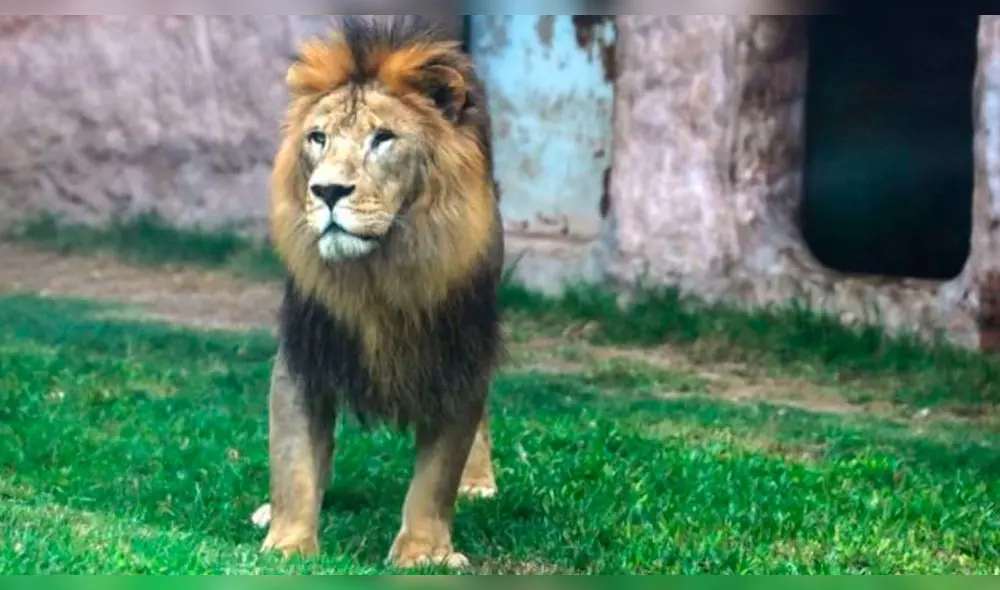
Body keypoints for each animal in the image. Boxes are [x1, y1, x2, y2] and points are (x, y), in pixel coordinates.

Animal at [255, 16, 505, 570]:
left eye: (383, 138)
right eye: (318, 138)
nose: (326, 191)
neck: (377, 274)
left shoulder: (458, 358)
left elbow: (436, 478)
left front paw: (424, 554)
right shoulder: (305, 352)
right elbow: (295, 460)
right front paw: (288, 546)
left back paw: (479, 483)